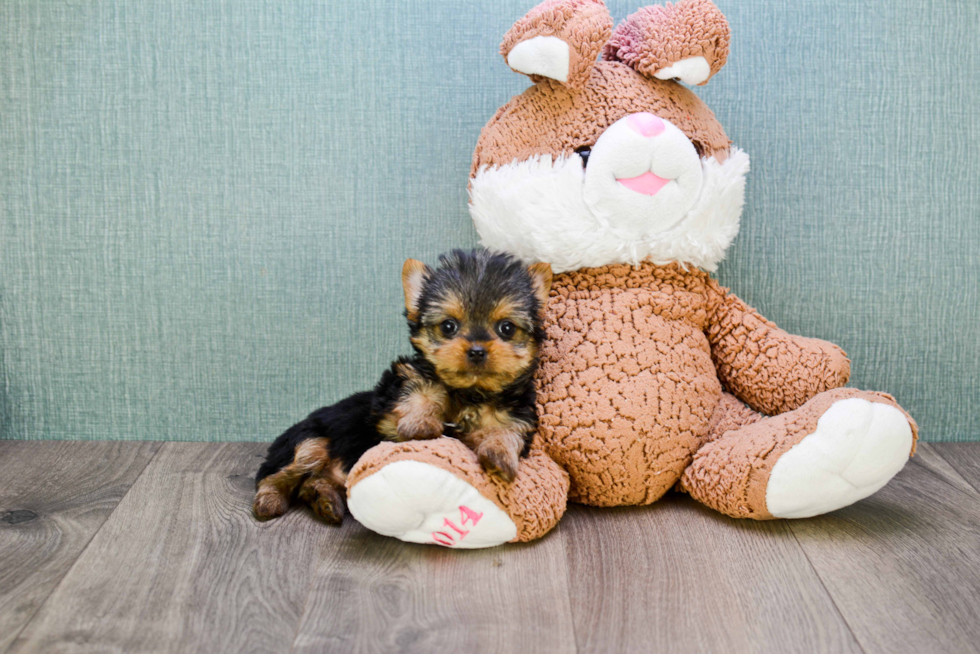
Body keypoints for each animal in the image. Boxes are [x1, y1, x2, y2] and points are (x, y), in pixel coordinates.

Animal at [253, 251, 552, 528]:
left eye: (506, 328)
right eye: (448, 326)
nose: (477, 350)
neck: (469, 392)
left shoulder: (517, 413)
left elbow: (506, 430)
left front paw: (500, 455)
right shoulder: (392, 399)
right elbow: (422, 391)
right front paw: (421, 423)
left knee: (311, 481)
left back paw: (323, 499)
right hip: (308, 440)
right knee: (280, 472)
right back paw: (270, 500)